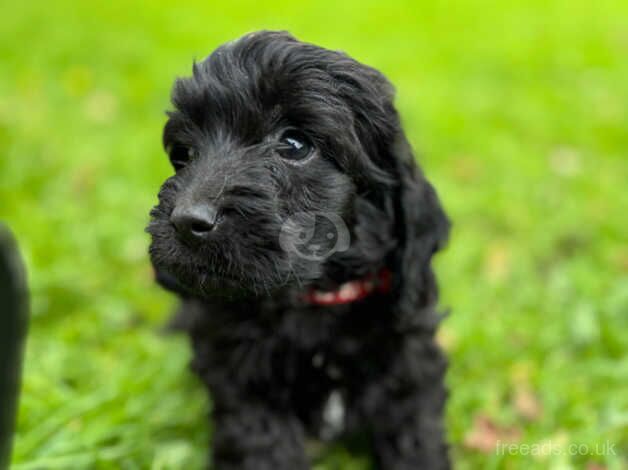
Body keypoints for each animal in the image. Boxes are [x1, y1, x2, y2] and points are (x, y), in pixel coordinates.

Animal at [148, 31, 452, 468]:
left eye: (294, 144)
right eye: (183, 154)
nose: (186, 222)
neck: (315, 300)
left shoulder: (410, 362)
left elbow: (415, 433)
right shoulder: (242, 381)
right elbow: (260, 443)